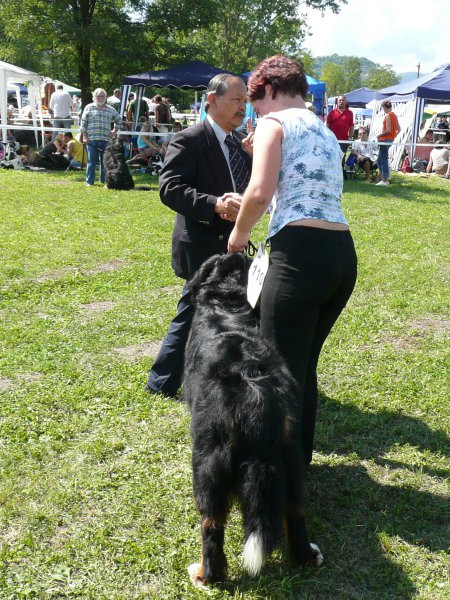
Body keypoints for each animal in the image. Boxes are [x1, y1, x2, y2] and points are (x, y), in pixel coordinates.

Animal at [184, 251, 324, 588]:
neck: (226, 304)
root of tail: (257, 398)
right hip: (291, 457)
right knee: (294, 510)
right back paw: (306, 556)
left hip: (207, 463)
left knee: (211, 524)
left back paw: (205, 574)